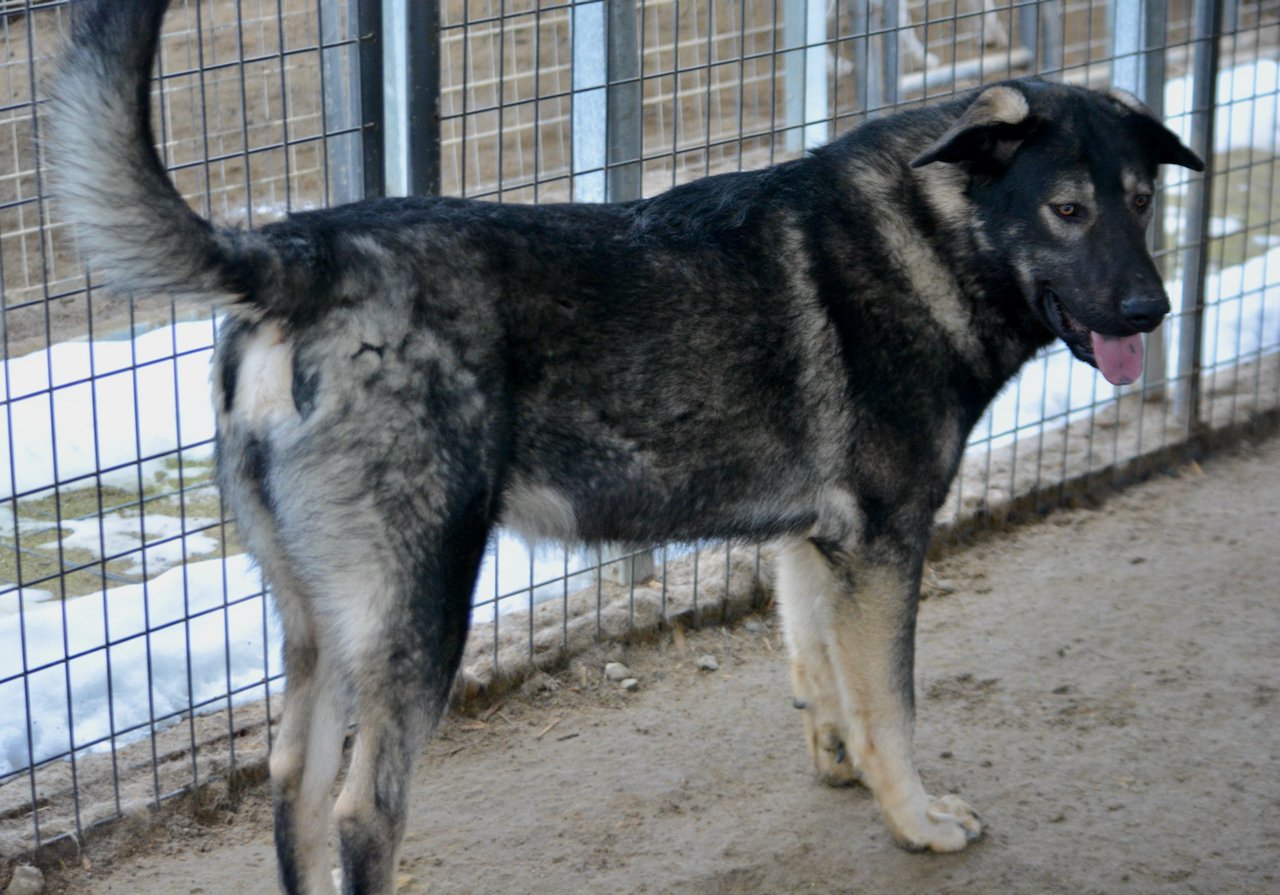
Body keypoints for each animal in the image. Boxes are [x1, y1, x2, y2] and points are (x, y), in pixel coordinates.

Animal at [49, 3, 1203, 891]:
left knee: (289, 789)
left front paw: (842, 766)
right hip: (418, 618)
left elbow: (824, 674)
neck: (933, 229)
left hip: (319, 627)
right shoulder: (884, 545)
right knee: (360, 814)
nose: (1151, 311)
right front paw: (914, 819)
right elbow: (895, 703)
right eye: (1066, 210)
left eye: (1142, 202)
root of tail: (299, 253)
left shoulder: (811, 548)